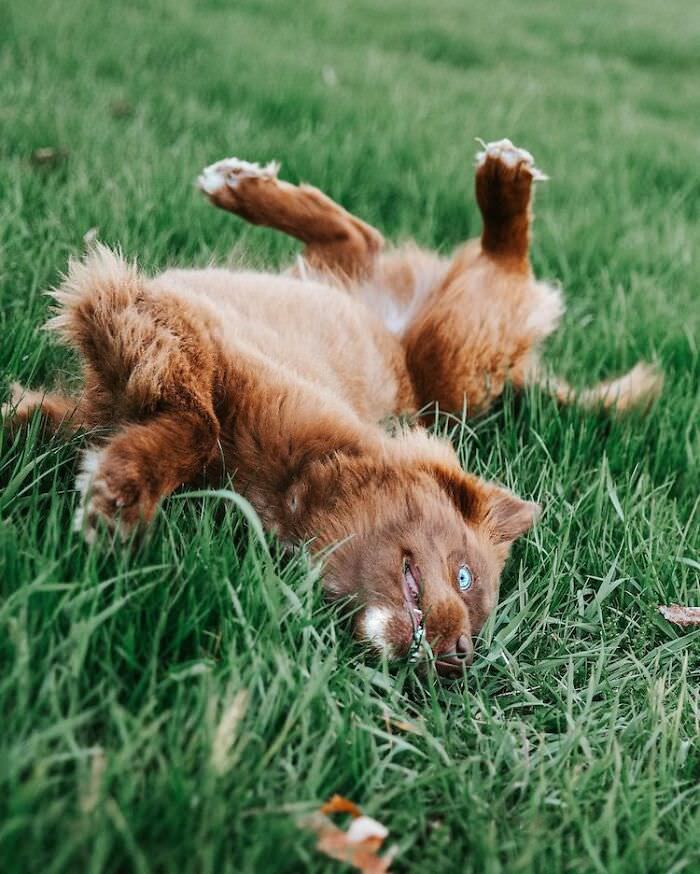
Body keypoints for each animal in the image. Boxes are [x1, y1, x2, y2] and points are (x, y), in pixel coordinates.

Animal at [2, 141, 660, 676]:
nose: (460, 659)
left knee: (360, 238)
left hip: (441, 362)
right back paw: (503, 180)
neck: (299, 485)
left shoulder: (114, 372)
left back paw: (246, 187)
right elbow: (196, 426)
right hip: (455, 355)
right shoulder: (178, 332)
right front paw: (121, 493)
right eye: (465, 577)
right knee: (486, 259)